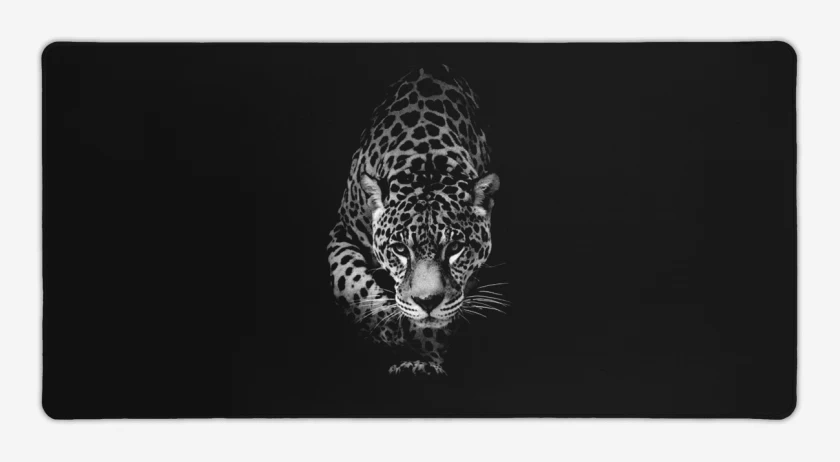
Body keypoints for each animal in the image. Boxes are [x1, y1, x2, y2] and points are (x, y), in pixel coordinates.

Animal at [327, 64, 503, 376]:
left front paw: (423, 353)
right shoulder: (342, 231)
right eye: (399, 249)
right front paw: (395, 331)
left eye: (455, 248)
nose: (427, 302)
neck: (426, 162)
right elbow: (349, 282)